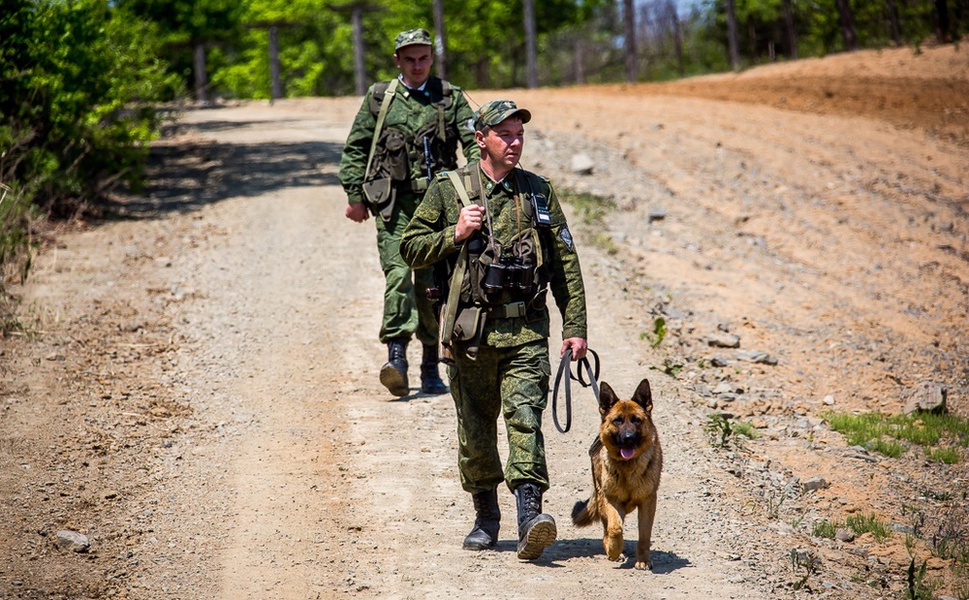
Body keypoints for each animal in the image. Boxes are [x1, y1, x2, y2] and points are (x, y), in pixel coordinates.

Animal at [572, 378, 660, 568]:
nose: (628, 438)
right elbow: (614, 528)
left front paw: (643, 560)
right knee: (607, 527)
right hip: (602, 498)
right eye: (617, 421)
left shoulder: (648, 503)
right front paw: (613, 550)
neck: (627, 467)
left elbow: (644, 536)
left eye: (636, 420)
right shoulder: (610, 500)